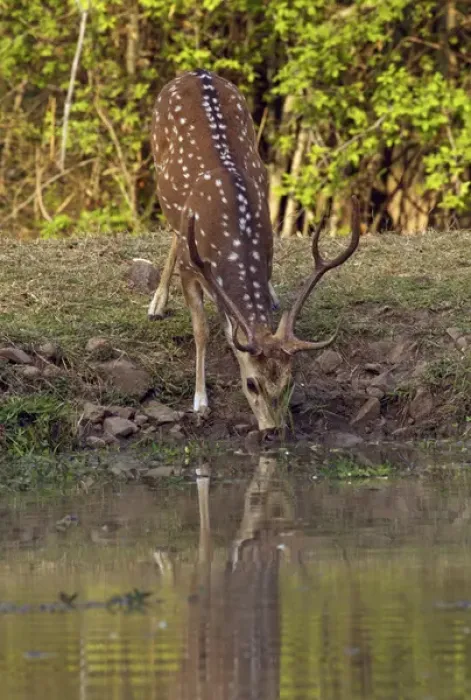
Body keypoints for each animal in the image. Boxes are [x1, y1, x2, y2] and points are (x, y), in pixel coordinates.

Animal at [148, 69, 360, 436]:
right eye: (251, 384)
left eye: (290, 382)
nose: (274, 430)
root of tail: (197, 71)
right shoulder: (192, 267)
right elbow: (202, 331)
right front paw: (200, 401)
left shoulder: (267, 250)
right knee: (173, 234)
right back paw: (157, 303)